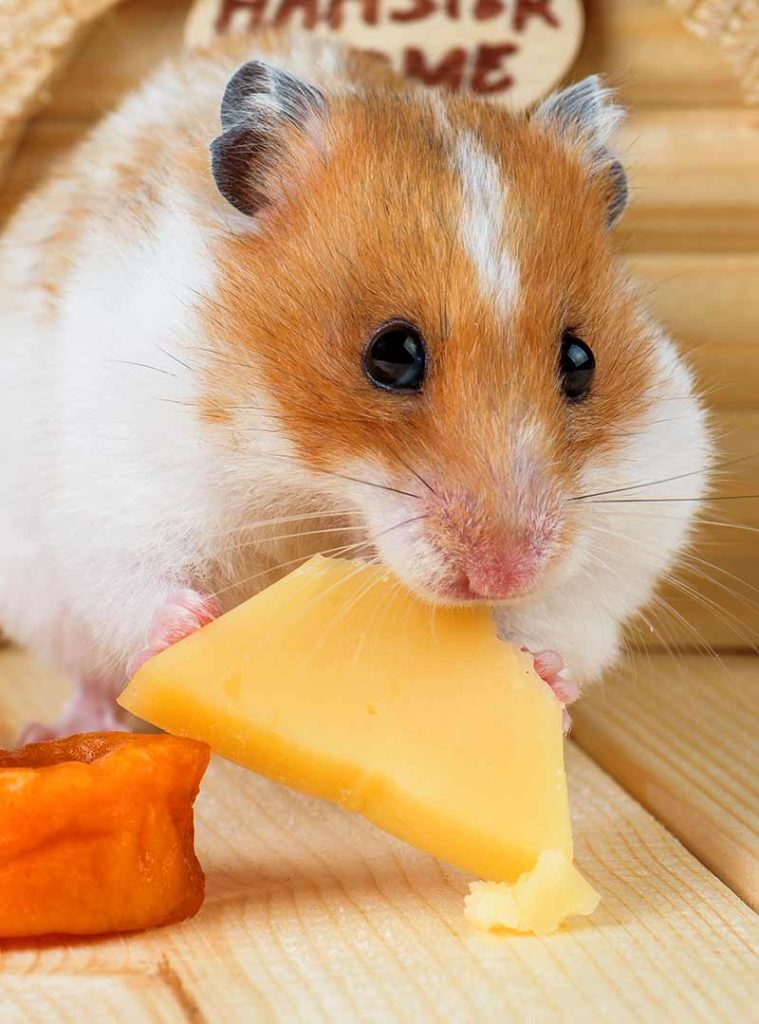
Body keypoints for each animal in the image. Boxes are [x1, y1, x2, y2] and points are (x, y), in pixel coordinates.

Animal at [0, 34, 711, 741]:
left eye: (580, 360)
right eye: (391, 355)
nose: (504, 575)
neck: (321, 492)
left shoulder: (637, 518)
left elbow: (566, 617)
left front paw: (543, 677)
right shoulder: (130, 475)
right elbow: (136, 579)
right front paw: (193, 628)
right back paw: (53, 732)